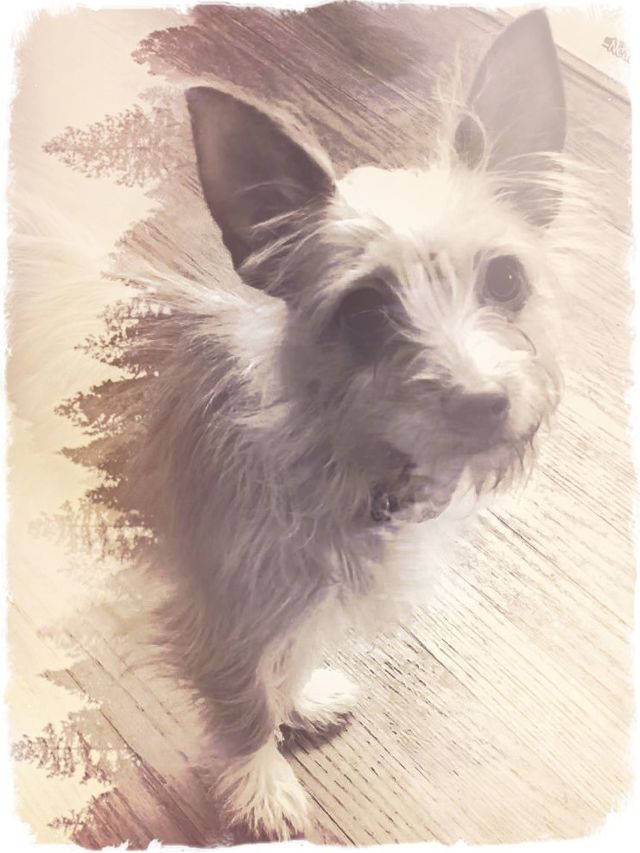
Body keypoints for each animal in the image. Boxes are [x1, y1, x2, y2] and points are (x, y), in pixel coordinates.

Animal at [124, 8, 591, 839]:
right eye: (367, 311)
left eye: (506, 279)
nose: (483, 400)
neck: (332, 444)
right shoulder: (219, 607)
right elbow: (245, 696)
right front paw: (258, 783)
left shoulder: (294, 595)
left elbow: (287, 654)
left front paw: (300, 700)